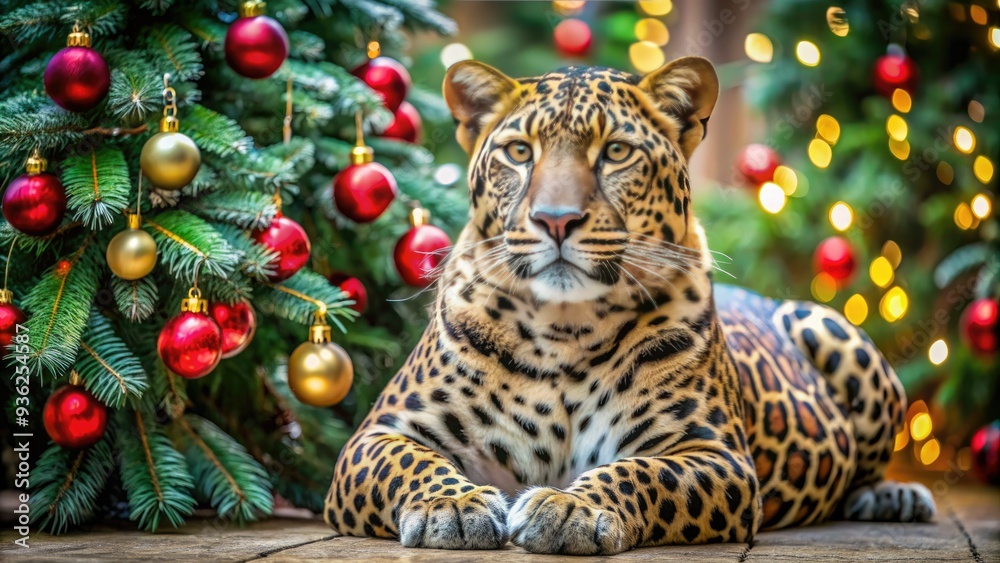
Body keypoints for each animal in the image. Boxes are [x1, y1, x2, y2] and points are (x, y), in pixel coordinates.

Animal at [323, 57, 935, 554]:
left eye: (616, 152)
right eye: (519, 153)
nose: (556, 220)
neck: (562, 329)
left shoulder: (716, 455)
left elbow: (643, 472)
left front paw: (570, 506)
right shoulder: (379, 433)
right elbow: (409, 462)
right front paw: (451, 505)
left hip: (833, 329)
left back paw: (895, 497)